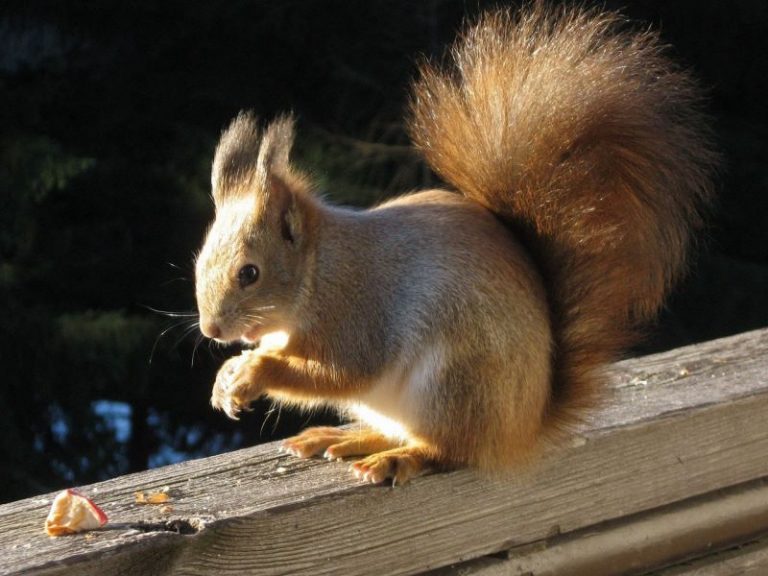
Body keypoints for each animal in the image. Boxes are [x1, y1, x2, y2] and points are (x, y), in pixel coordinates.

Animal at [192, 3, 712, 486]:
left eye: (250, 273)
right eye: (198, 264)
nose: (212, 330)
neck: (319, 270)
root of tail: (522, 428)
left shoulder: (358, 315)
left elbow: (341, 373)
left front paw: (253, 373)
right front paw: (225, 377)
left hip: (453, 384)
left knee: (447, 449)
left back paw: (397, 458)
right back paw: (348, 438)